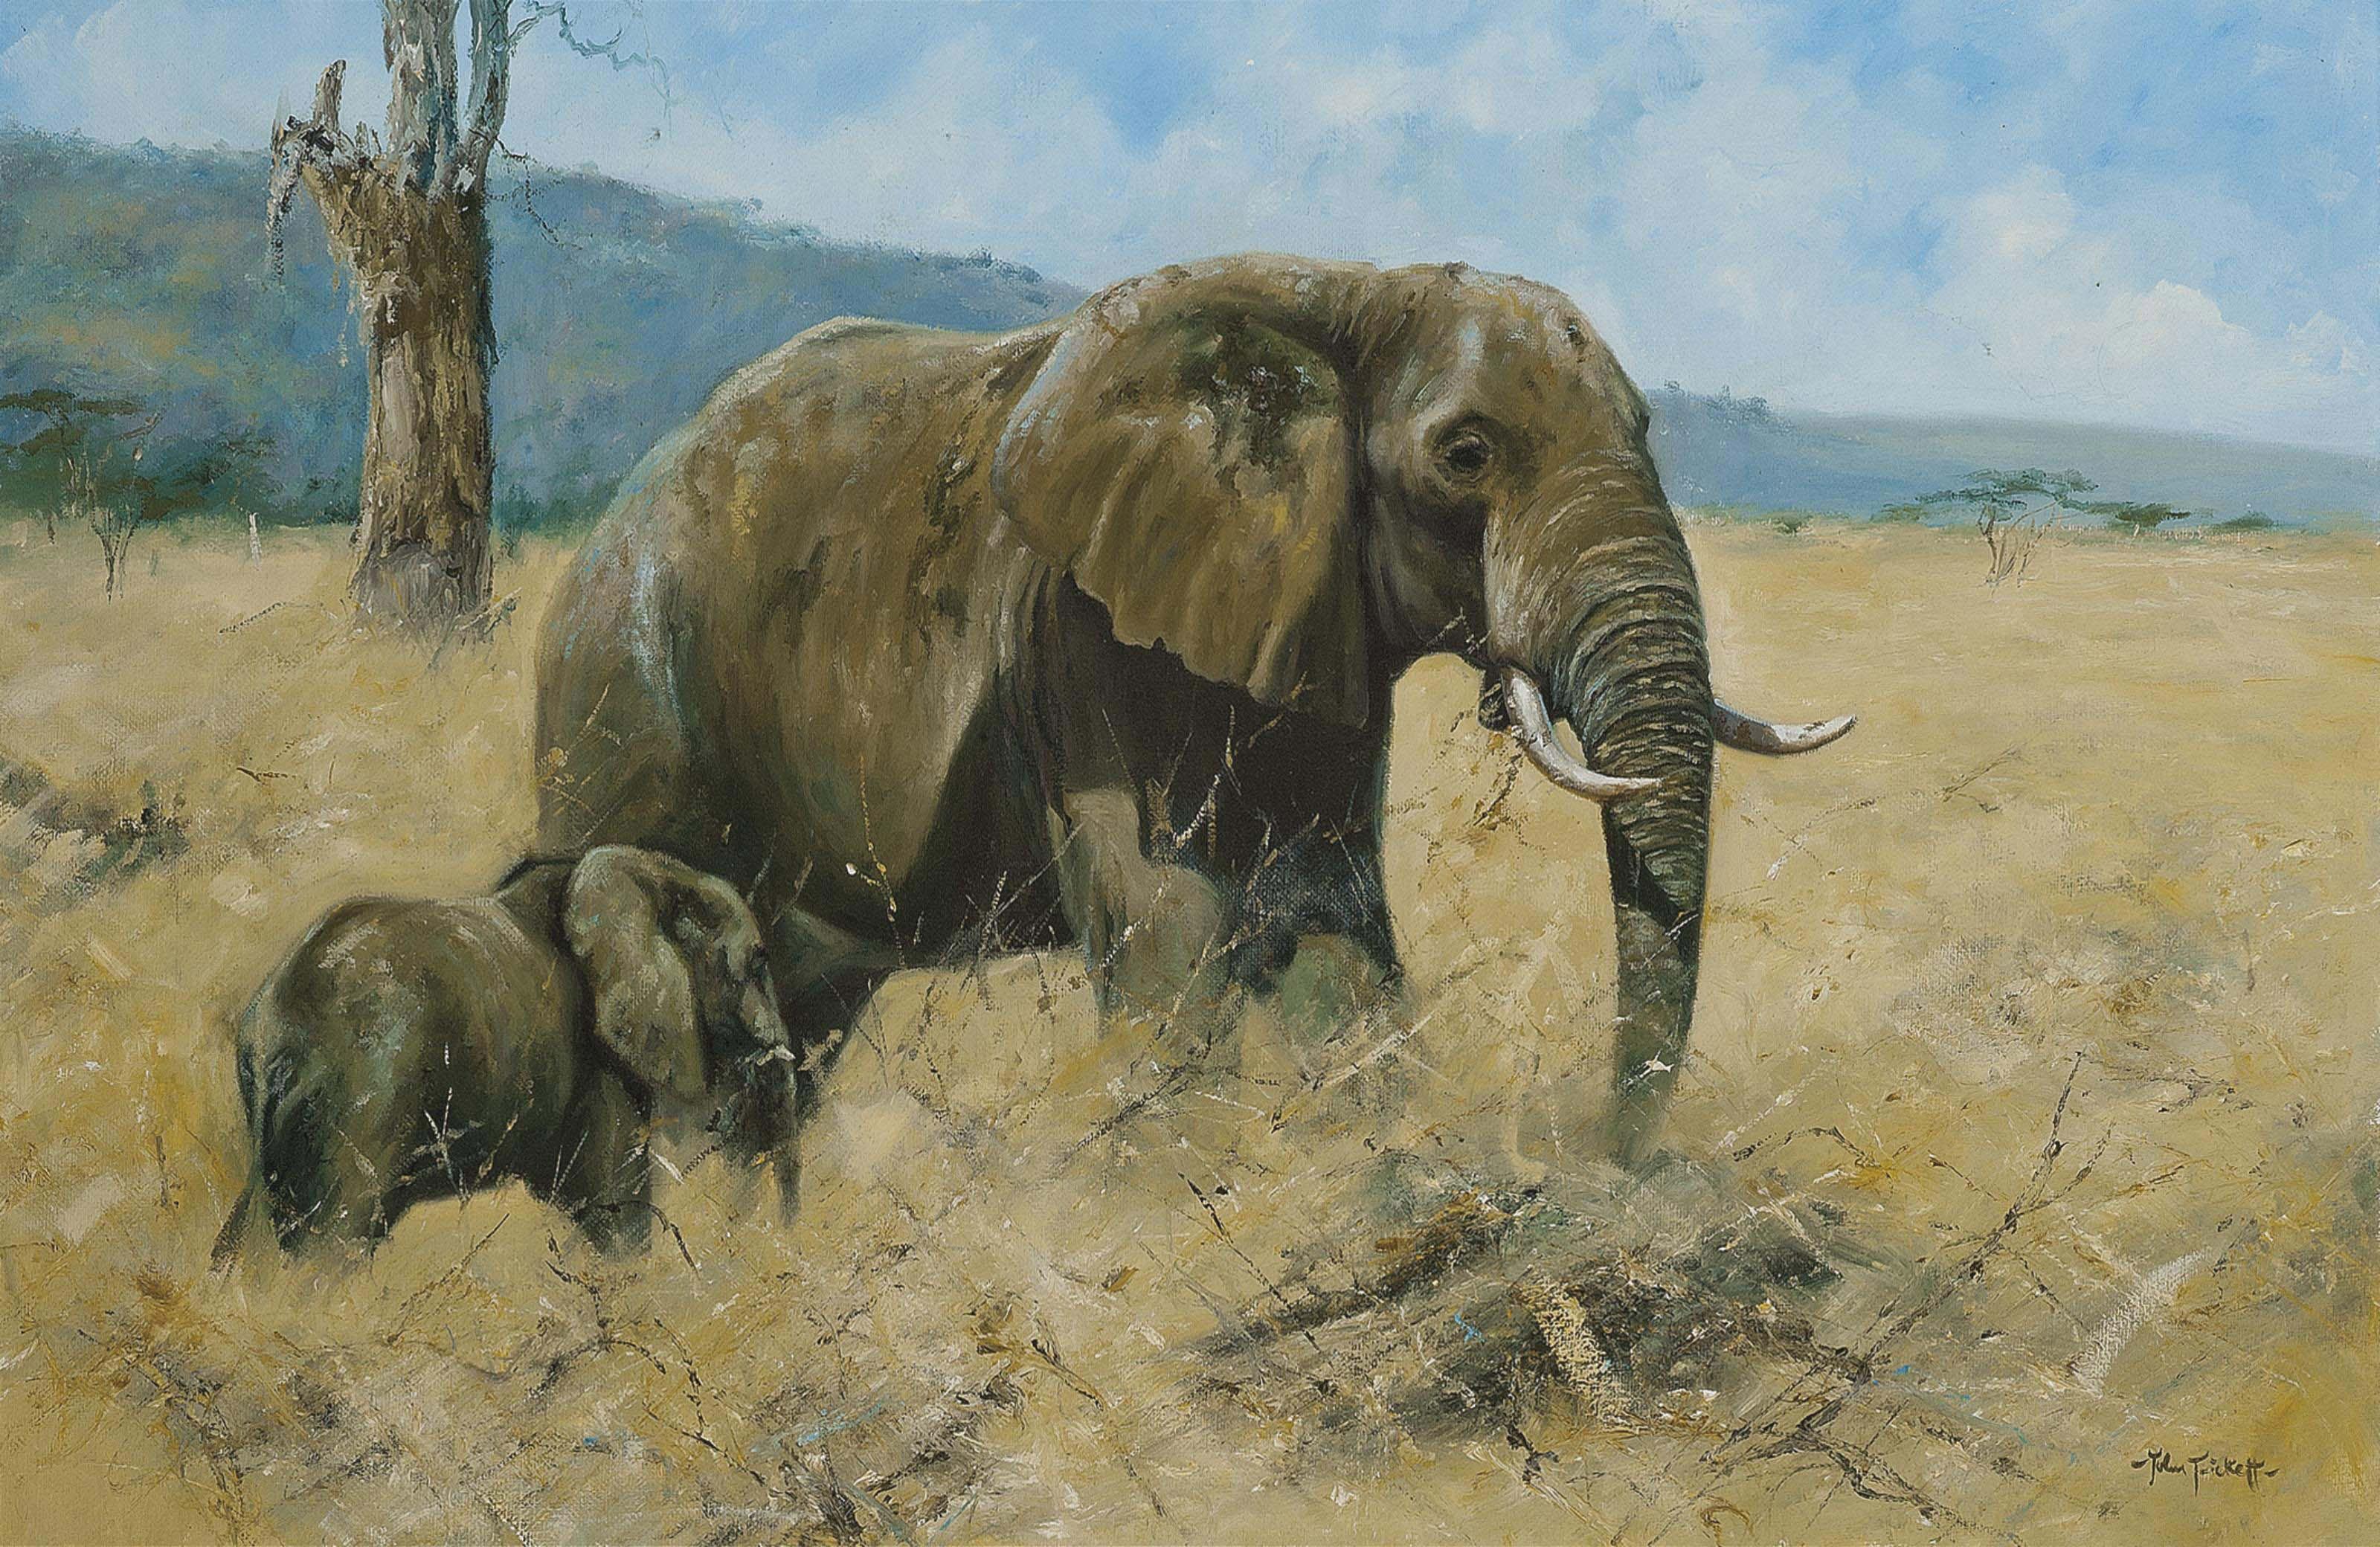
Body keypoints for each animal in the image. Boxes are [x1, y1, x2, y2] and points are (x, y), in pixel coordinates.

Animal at [213, 846, 798, 1258]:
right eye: (759, 962)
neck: (650, 871)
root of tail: (274, 1025)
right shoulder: (591, 1058)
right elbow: (615, 1209)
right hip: (364, 1090)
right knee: (334, 1234)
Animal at [532, 252, 1853, 1179]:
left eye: (1646, 431)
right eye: (1465, 454)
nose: (1618, 1168)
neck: (1344, 295)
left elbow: (1334, 929)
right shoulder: (1080, 635)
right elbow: (1171, 941)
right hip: (622, 710)